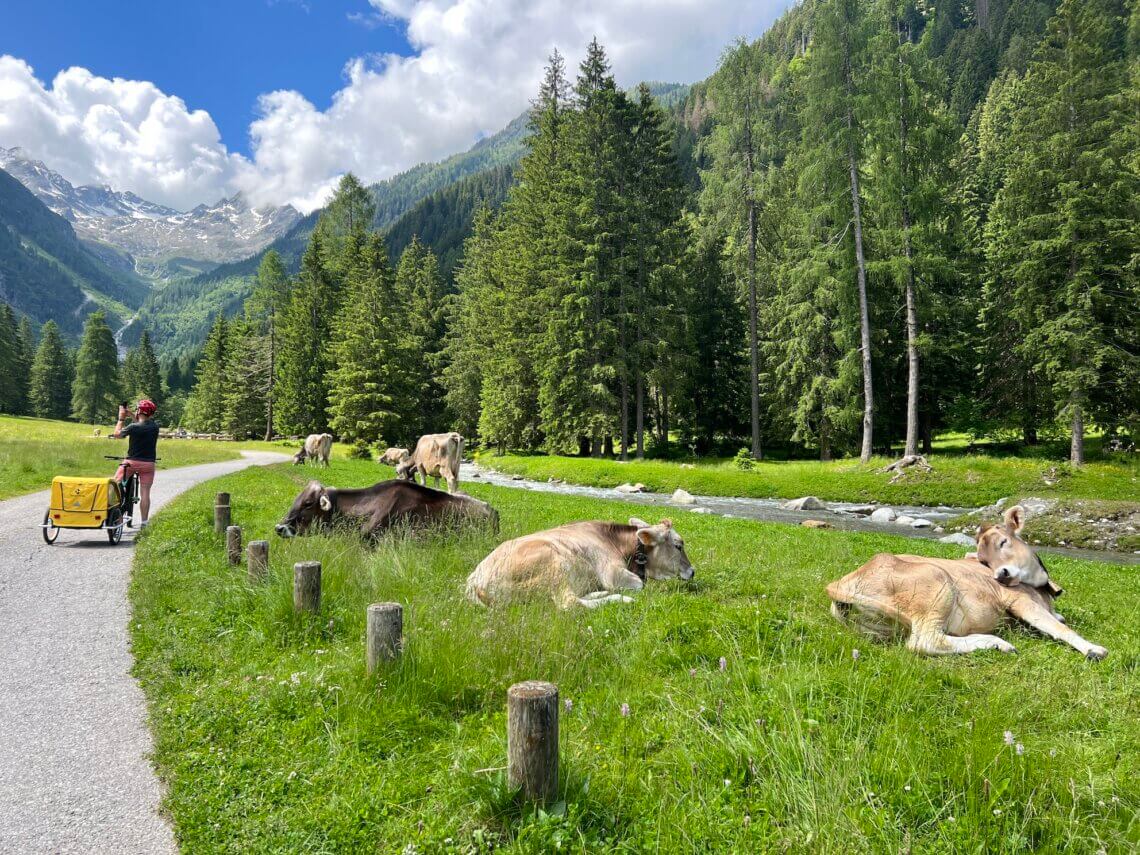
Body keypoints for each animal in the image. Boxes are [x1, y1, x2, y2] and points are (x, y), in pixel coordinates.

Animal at [462, 515, 693, 611]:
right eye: (678, 545)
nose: (692, 571)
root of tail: (475, 580)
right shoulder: (613, 573)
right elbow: (640, 584)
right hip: (553, 563)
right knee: (569, 603)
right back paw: (621, 599)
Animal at [829, 508, 1103, 661]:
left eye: (1004, 542)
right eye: (983, 560)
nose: (1001, 575)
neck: (1041, 591)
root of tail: (844, 583)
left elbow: (1058, 620)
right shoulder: (1018, 600)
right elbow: (1060, 628)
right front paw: (1093, 649)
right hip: (937, 585)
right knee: (925, 641)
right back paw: (999, 643)